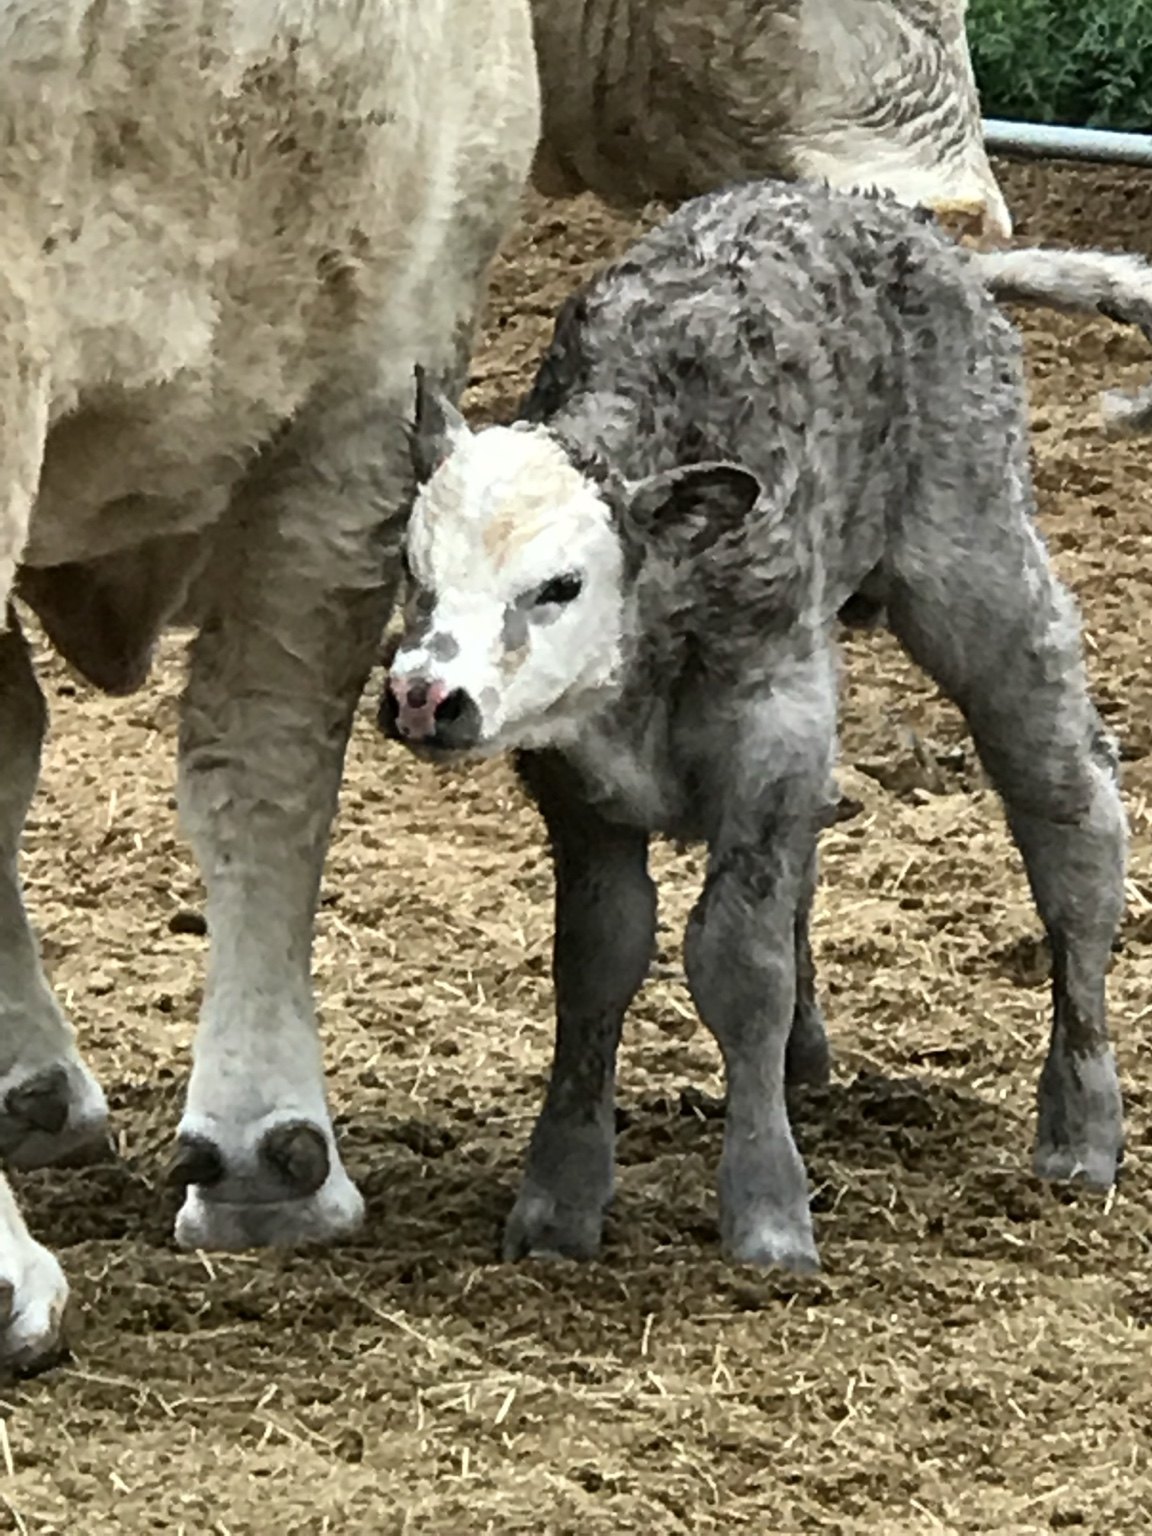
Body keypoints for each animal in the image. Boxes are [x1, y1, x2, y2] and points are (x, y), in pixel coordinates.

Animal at [381, 180, 1152, 1271]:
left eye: (560, 585)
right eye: (414, 568)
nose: (424, 696)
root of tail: (925, 239)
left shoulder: (769, 736)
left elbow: (738, 964)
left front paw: (768, 1212)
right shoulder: (578, 786)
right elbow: (597, 962)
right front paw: (559, 1199)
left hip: (983, 579)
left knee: (1069, 819)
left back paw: (1081, 1121)